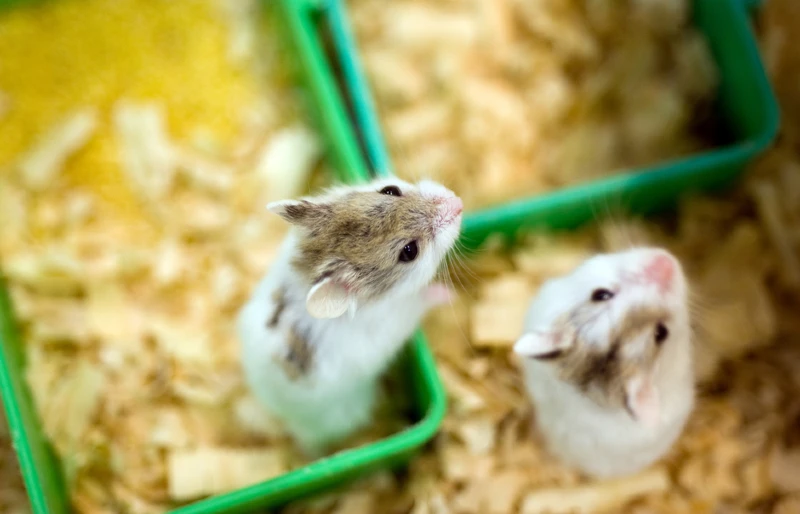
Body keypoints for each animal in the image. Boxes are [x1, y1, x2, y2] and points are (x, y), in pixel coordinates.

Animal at [237, 176, 463, 455]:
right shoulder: (401, 315)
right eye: (410, 251)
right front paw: (449, 294)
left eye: (390, 191)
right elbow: (425, 299)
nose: (458, 202)